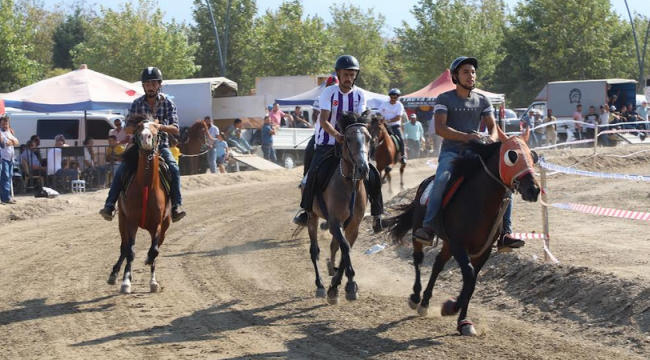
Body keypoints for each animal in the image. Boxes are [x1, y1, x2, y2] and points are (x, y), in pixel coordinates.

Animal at [107, 114, 172, 294]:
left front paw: (153, 282)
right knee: (124, 247)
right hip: (122, 220)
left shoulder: (158, 224)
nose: (145, 138)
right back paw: (114, 274)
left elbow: (154, 251)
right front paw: (126, 283)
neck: (146, 187)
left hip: (165, 225)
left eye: (156, 127)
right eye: (138, 128)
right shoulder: (130, 221)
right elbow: (130, 251)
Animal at [306, 112, 372, 304]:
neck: (349, 183)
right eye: (348, 139)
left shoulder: (353, 226)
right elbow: (345, 247)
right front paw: (347, 285)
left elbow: (345, 249)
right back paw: (320, 285)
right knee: (314, 251)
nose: (363, 169)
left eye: (369, 138)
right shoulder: (335, 222)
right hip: (312, 216)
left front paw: (338, 286)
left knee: (334, 246)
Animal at [382, 131, 540, 336]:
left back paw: (425, 302)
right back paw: (416, 297)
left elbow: (471, 284)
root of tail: (425, 182)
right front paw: (450, 307)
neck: (479, 202)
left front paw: (463, 321)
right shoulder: (459, 245)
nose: (534, 189)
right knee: (418, 258)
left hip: (448, 244)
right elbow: (469, 277)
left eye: (533, 156)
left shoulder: (483, 251)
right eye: (511, 156)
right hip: (419, 232)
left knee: (437, 265)